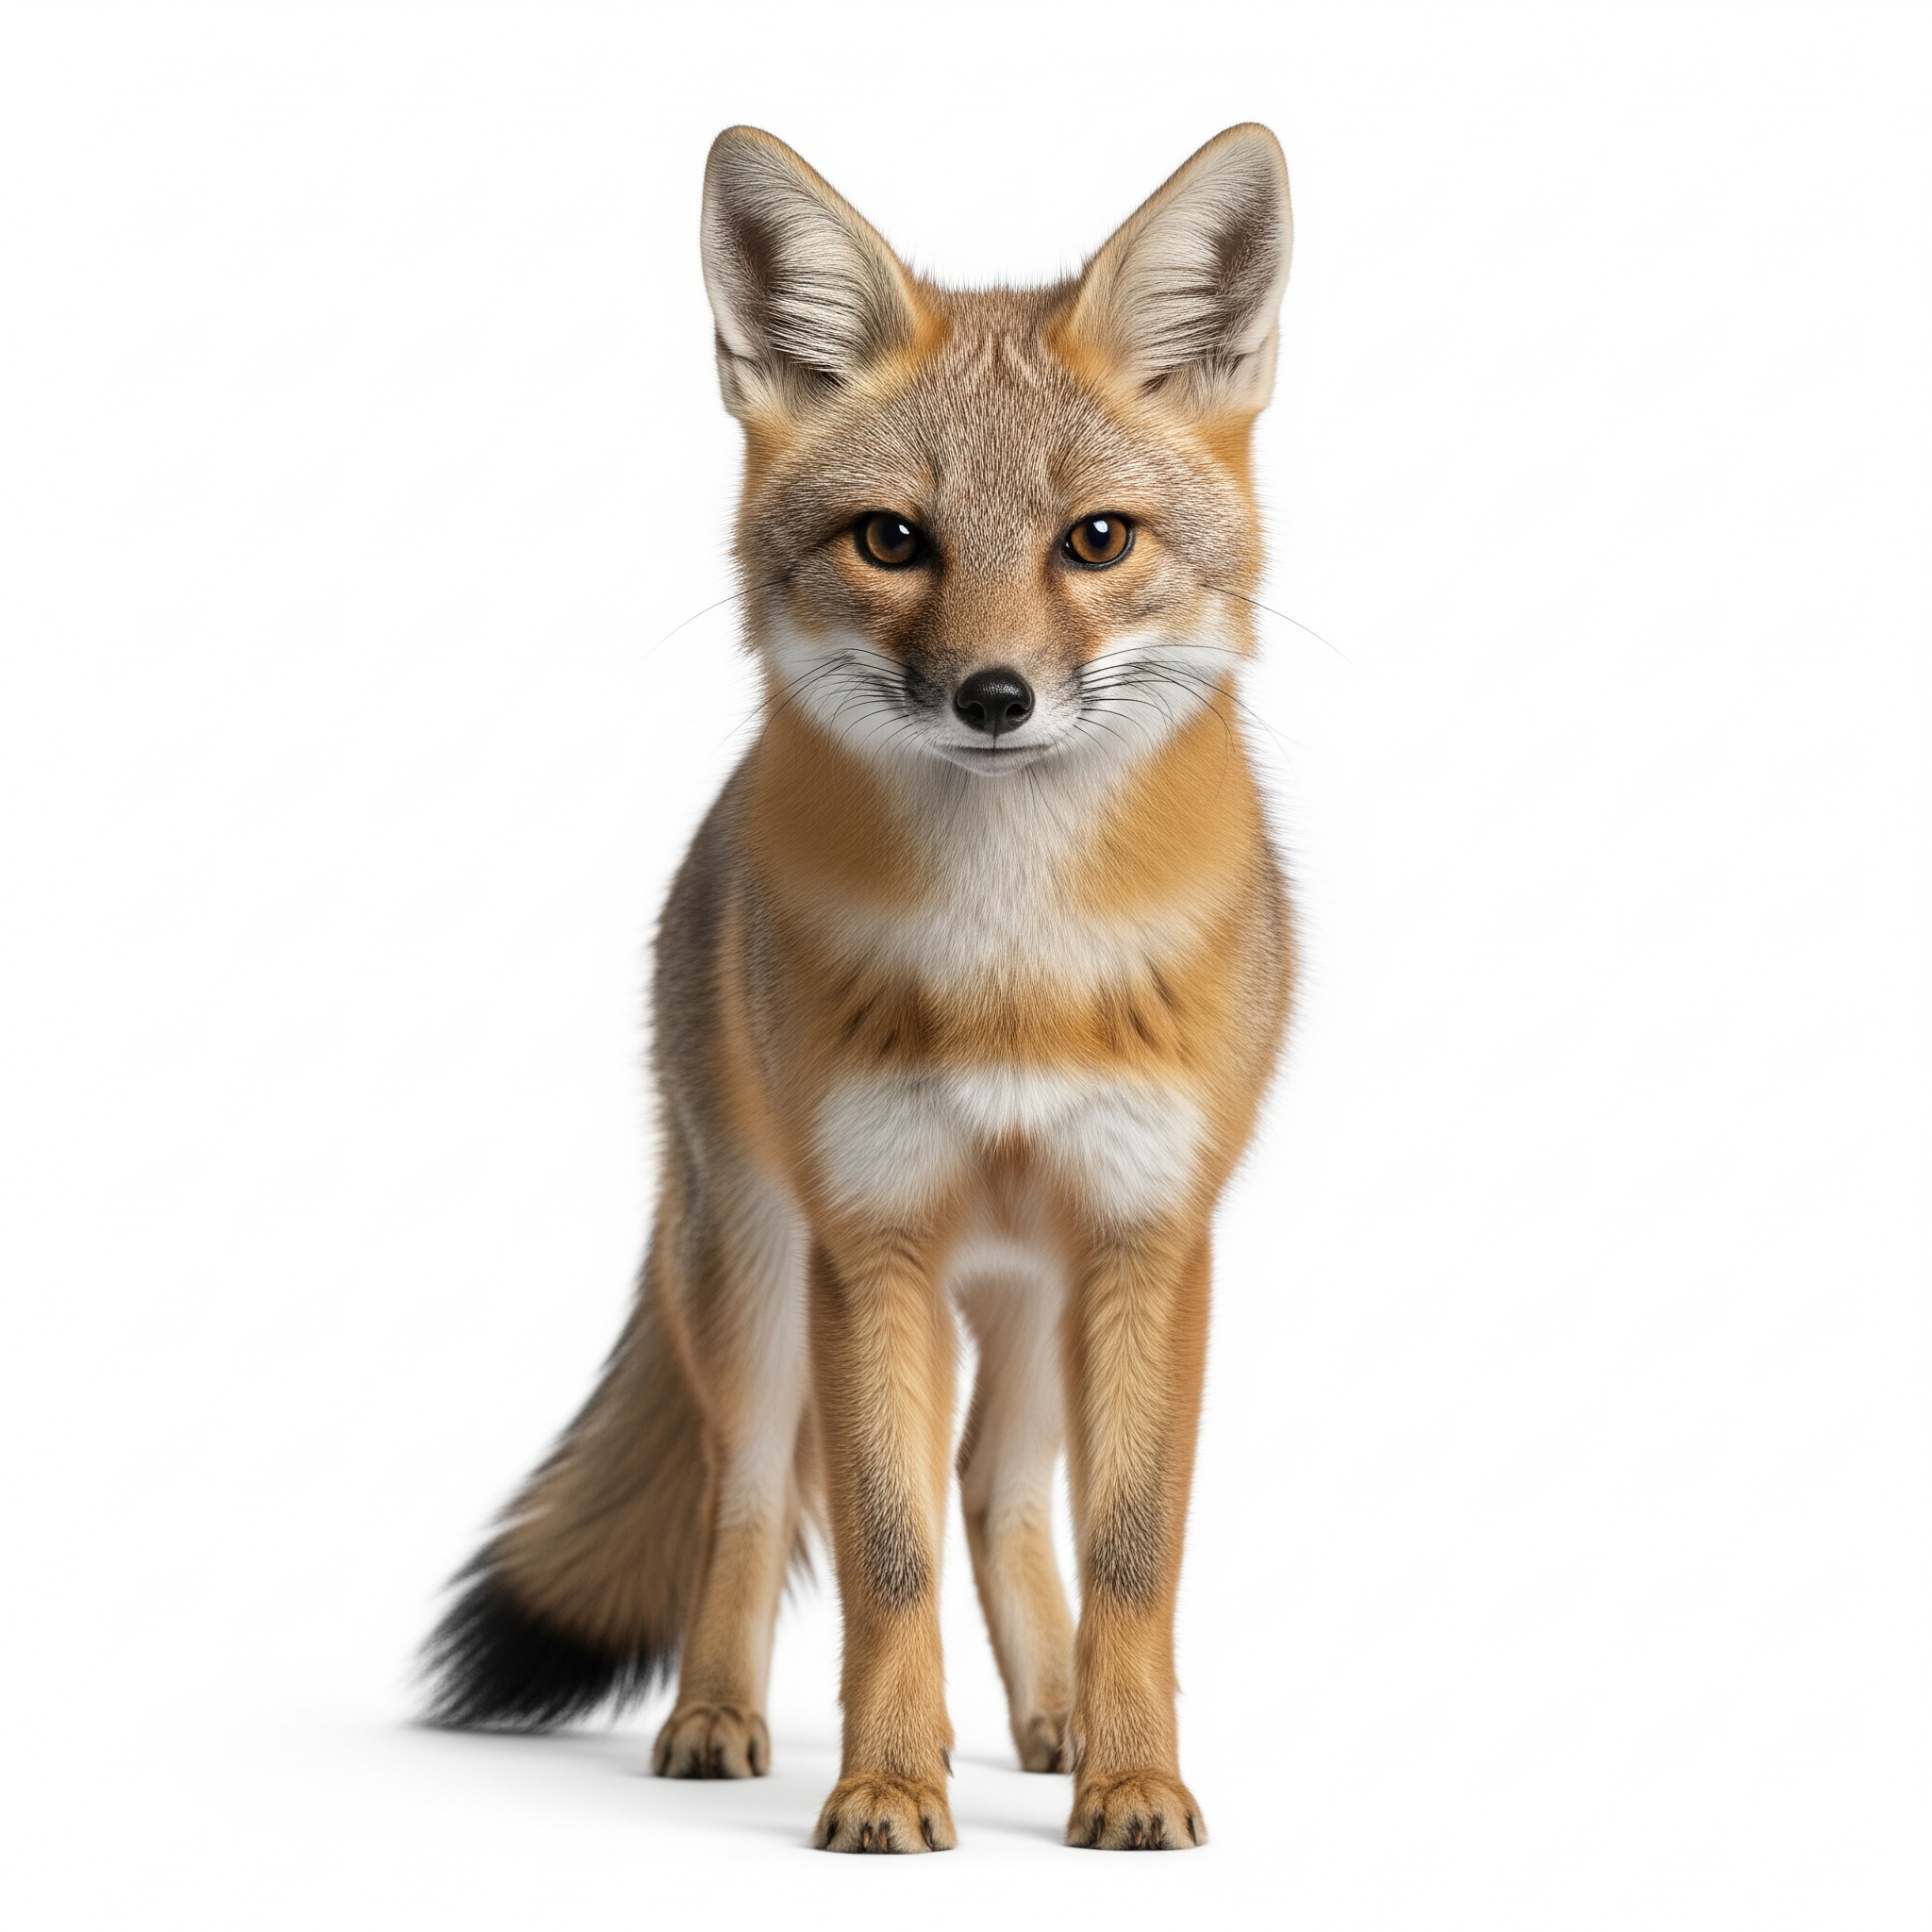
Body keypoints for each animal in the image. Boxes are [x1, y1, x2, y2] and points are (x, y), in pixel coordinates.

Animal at [423, 121, 1296, 1854]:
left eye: (1096, 539)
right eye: (893, 538)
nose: (994, 696)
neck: (1014, 971)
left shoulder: (1151, 1239)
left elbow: (1128, 1552)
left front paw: (1133, 1778)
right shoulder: (870, 1234)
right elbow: (884, 1553)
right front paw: (886, 1784)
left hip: (1027, 1293)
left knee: (996, 1486)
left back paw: (1048, 1721)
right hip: (755, 1272)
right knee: (754, 1495)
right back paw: (717, 1718)